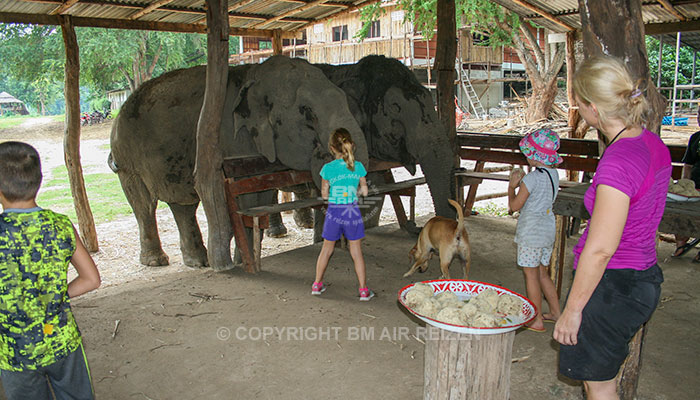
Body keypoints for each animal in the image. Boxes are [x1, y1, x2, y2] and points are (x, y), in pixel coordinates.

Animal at [110, 56, 370, 268]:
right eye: (307, 111)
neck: (256, 75)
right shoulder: (229, 143)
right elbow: (243, 201)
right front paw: (238, 262)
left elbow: (262, 196)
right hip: (127, 160)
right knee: (144, 205)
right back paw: (156, 261)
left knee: (182, 205)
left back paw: (198, 262)